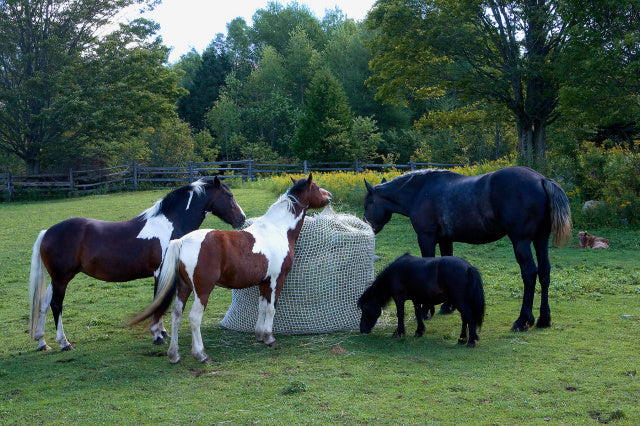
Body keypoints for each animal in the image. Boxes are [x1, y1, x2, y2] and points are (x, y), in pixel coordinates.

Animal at [26, 178, 245, 352]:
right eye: (229, 196)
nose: (241, 219)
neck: (170, 225)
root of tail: (47, 232)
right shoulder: (160, 272)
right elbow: (158, 301)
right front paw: (157, 336)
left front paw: (162, 332)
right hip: (62, 279)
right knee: (56, 305)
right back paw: (64, 343)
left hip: (57, 279)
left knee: (43, 303)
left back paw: (42, 342)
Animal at [128, 173, 332, 362]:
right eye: (316, 187)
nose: (329, 195)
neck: (277, 228)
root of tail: (181, 242)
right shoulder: (276, 279)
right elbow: (271, 308)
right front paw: (269, 337)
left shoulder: (264, 281)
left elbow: (262, 306)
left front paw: (260, 335)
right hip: (203, 290)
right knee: (194, 318)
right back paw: (201, 354)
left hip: (183, 288)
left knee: (176, 315)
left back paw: (174, 354)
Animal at [356, 253, 484, 346]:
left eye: (365, 309)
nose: (362, 329)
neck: (394, 273)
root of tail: (468, 267)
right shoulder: (416, 299)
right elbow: (418, 314)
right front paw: (419, 331)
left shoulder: (399, 297)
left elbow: (400, 314)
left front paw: (398, 332)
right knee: (465, 318)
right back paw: (462, 339)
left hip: (458, 301)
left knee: (468, 316)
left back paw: (471, 341)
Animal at [362, 166, 572, 332]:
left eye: (369, 203)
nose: (367, 225)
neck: (421, 191)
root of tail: (542, 179)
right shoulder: (446, 239)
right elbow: (444, 261)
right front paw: (447, 307)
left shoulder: (426, 237)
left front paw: (426, 310)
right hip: (540, 239)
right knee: (544, 273)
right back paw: (544, 319)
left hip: (521, 241)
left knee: (529, 274)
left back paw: (522, 320)